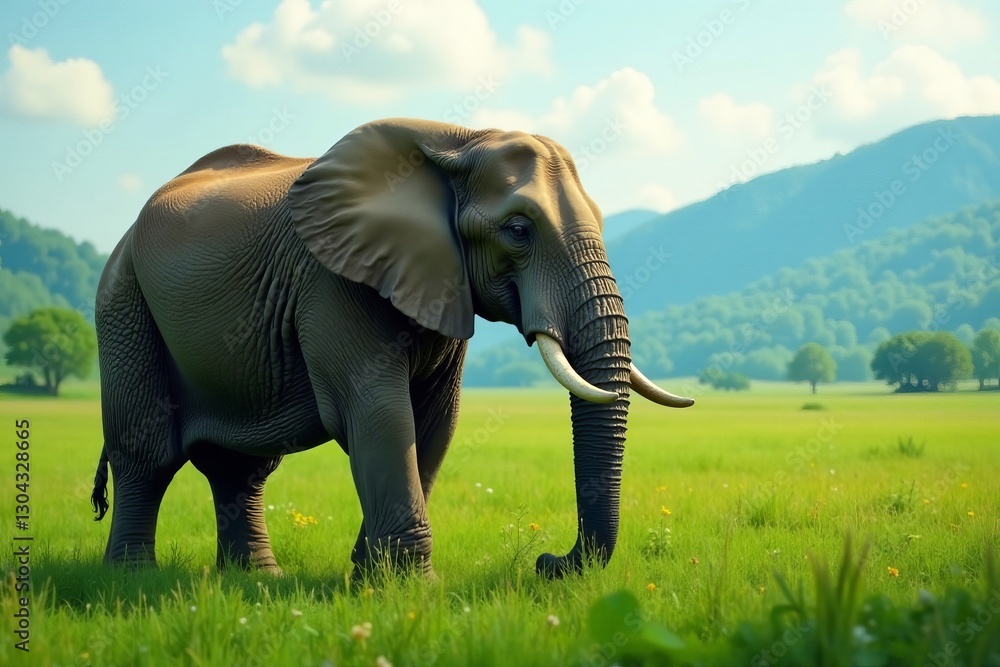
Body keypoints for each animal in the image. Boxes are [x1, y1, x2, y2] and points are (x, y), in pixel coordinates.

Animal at [90, 118, 693, 579]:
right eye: (518, 230)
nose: (547, 562)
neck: (459, 140)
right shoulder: (332, 280)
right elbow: (379, 412)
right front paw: (411, 589)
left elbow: (434, 420)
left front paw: (372, 580)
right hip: (123, 301)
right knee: (146, 452)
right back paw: (131, 580)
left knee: (241, 468)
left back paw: (257, 579)